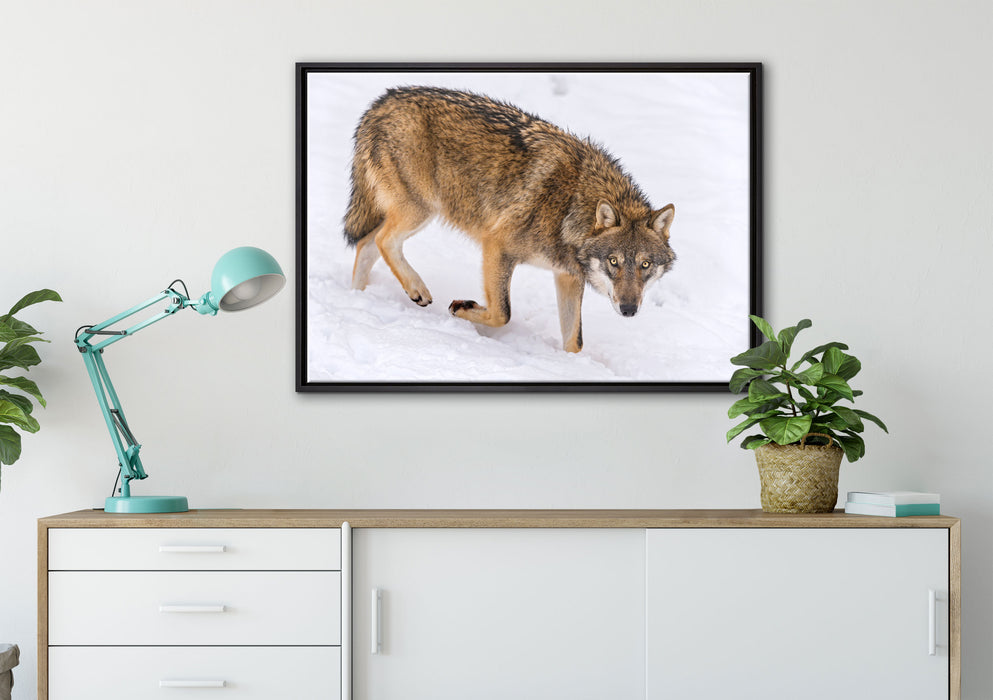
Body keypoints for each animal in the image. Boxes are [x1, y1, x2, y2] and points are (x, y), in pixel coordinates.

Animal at [343, 86, 675, 353]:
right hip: (420, 210)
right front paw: (461, 308)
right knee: (383, 241)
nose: (629, 309)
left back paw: (357, 300)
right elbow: (503, 313)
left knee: (366, 245)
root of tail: (382, 101)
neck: (571, 206)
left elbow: (575, 341)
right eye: (614, 261)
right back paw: (416, 290)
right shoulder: (497, 246)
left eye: (645, 264)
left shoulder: (567, 276)